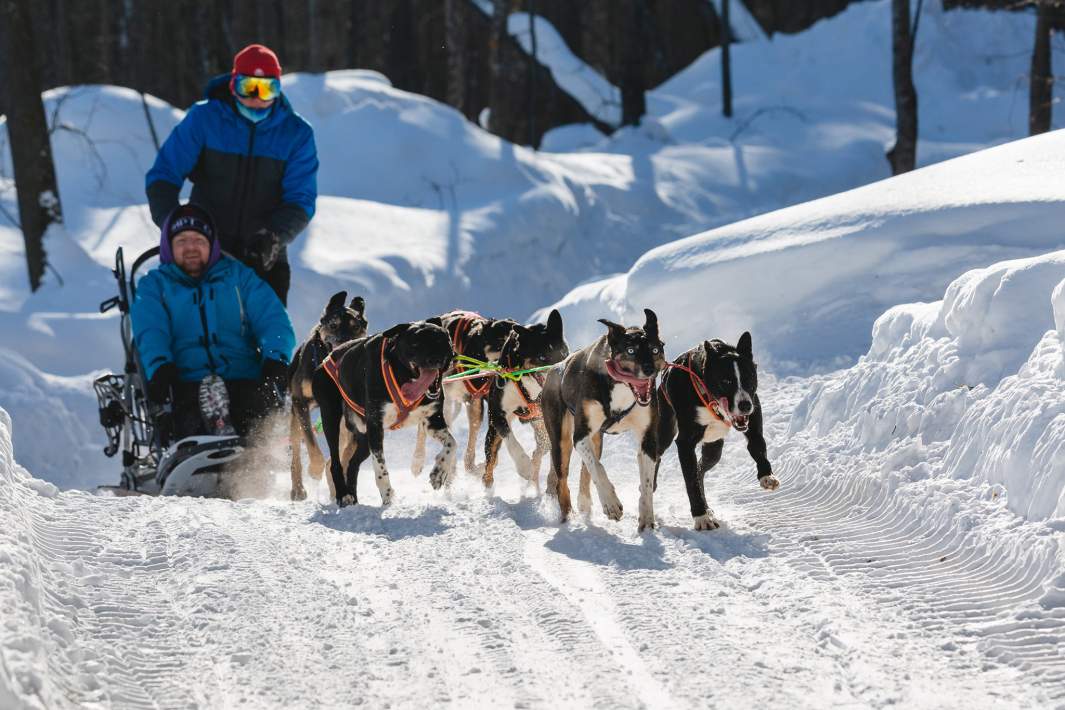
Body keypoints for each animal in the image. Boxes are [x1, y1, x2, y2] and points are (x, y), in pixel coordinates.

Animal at [289, 291, 368, 502]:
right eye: (333, 325)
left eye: (356, 327)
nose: (345, 342)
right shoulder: (301, 402)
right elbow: (310, 439)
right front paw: (315, 468)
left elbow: (345, 454)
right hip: (295, 416)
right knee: (296, 451)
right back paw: (298, 488)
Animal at [310, 319, 455, 508]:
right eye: (415, 343)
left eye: (441, 342)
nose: (434, 360)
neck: (403, 377)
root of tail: (325, 361)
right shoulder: (375, 426)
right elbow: (380, 467)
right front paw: (387, 496)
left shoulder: (433, 420)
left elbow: (452, 444)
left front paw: (439, 472)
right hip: (332, 419)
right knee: (335, 463)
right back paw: (343, 495)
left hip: (363, 438)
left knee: (352, 464)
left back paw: (354, 498)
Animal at [481, 310, 566, 493]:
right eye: (541, 357)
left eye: (563, 353)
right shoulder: (498, 414)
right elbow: (512, 442)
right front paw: (524, 466)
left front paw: (552, 483)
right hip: (493, 431)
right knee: (491, 458)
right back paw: (489, 484)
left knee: (540, 451)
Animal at [541, 308, 664, 530]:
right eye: (631, 350)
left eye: (655, 349)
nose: (649, 369)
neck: (621, 387)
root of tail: (556, 367)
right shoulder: (580, 435)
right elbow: (598, 469)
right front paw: (611, 503)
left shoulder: (648, 439)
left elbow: (646, 483)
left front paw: (646, 518)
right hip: (561, 441)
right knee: (563, 480)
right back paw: (568, 516)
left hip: (596, 439)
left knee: (586, 470)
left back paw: (584, 504)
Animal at [651, 332, 779, 527]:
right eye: (726, 381)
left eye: (749, 378)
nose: (745, 405)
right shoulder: (685, 443)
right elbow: (691, 482)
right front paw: (701, 517)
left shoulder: (753, 423)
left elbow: (758, 445)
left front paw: (767, 475)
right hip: (665, 430)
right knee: (658, 457)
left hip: (714, 449)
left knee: (700, 469)